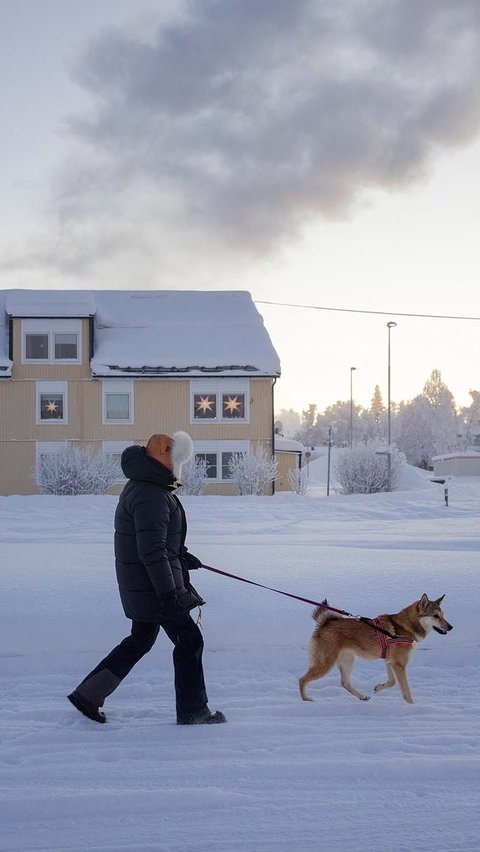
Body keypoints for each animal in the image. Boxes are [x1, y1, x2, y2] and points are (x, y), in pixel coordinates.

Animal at [298, 592, 452, 704]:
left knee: (345, 683)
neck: (406, 626)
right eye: (435, 616)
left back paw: (362, 696)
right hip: (325, 664)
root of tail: (325, 623)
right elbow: (405, 689)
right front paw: (412, 705)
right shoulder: (399, 664)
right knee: (302, 680)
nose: (450, 627)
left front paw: (378, 687)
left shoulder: (390, 662)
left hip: (348, 660)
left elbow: (392, 682)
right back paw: (305, 700)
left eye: (443, 615)